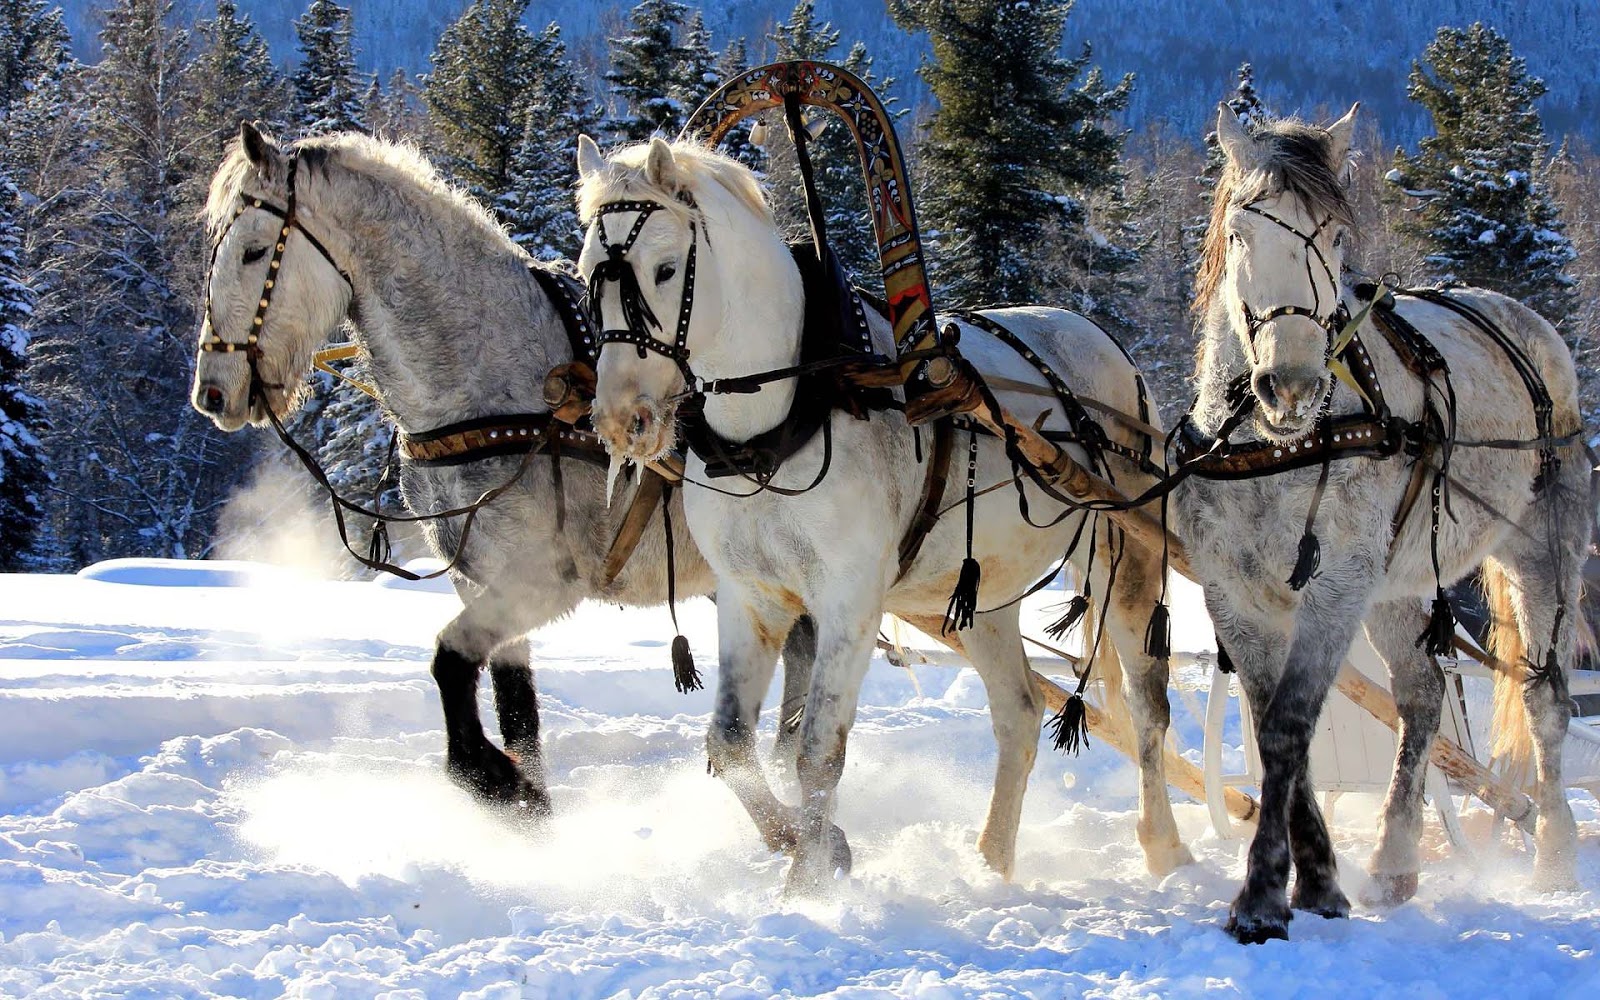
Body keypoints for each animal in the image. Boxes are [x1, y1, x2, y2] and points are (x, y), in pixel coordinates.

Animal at [190, 123, 816, 817]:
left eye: (252, 251)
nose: (213, 392)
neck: (490, 380)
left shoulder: (541, 580)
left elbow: (449, 662)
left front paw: (490, 778)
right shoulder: (480, 579)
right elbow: (516, 708)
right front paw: (531, 806)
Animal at [574, 134, 1192, 893]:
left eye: (664, 270)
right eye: (587, 276)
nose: (620, 420)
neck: (779, 423)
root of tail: (1105, 342)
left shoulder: (849, 600)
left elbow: (816, 752)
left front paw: (807, 885)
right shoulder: (751, 598)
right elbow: (731, 744)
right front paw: (801, 842)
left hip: (1123, 559)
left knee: (1147, 708)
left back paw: (1163, 847)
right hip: (980, 595)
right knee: (1018, 714)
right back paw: (992, 860)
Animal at [1181, 105, 1589, 942]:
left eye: (1335, 234)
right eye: (1241, 230)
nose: (1292, 383)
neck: (1276, 444)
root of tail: (1527, 324)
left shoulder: (1335, 584)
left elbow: (1289, 724)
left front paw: (1265, 895)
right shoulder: (1235, 595)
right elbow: (1279, 729)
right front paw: (1319, 881)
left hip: (1545, 553)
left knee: (1545, 703)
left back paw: (1555, 854)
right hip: (1401, 582)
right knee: (1423, 694)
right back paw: (1397, 861)